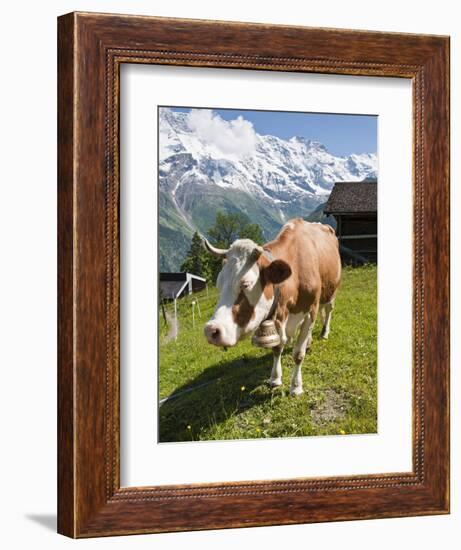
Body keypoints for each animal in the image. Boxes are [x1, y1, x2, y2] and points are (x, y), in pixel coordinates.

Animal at [203, 219, 340, 396]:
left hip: (331, 291)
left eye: (246, 284)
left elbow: (298, 354)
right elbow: (277, 348)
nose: (211, 330)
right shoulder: (279, 318)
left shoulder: (310, 311)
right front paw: (275, 378)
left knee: (328, 310)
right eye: (218, 284)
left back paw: (324, 333)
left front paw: (296, 386)